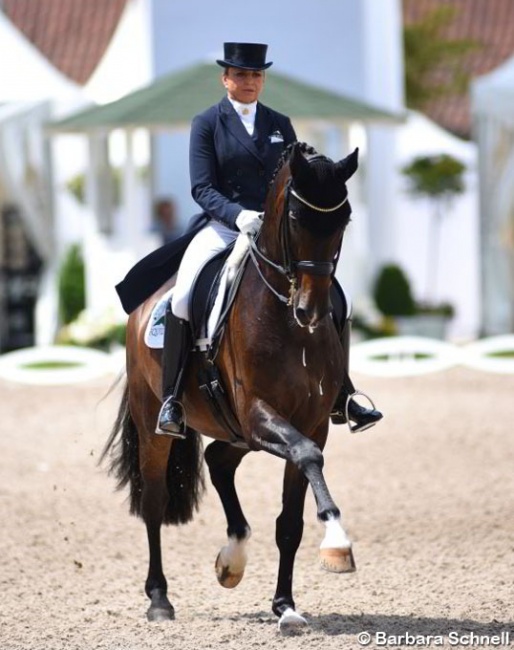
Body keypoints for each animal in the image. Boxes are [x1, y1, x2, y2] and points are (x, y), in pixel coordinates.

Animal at [103, 140, 360, 628]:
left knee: (218, 460)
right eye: (296, 218)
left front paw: (285, 606)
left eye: (344, 220)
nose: (312, 312)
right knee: (154, 502)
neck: (286, 320)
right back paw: (159, 598)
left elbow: (290, 522)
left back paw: (232, 559)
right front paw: (337, 541)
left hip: (238, 431)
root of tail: (144, 304)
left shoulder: (310, 422)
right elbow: (307, 455)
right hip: (157, 424)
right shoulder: (261, 413)